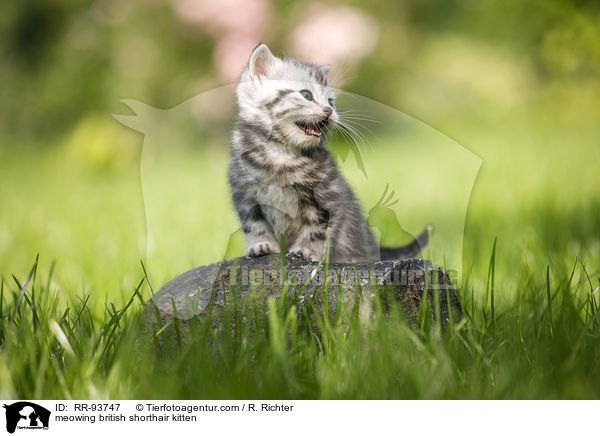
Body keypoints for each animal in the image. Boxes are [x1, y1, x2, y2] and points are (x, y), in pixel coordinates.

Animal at [227, 43, 428, 262]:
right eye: (306, 95)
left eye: (331, 102)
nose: (329, 111)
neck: (281, 155)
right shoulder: (244, 195)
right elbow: (254, 225)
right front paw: (261, 245)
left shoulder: (327, 196)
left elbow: (317, 228)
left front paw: (306, 250)